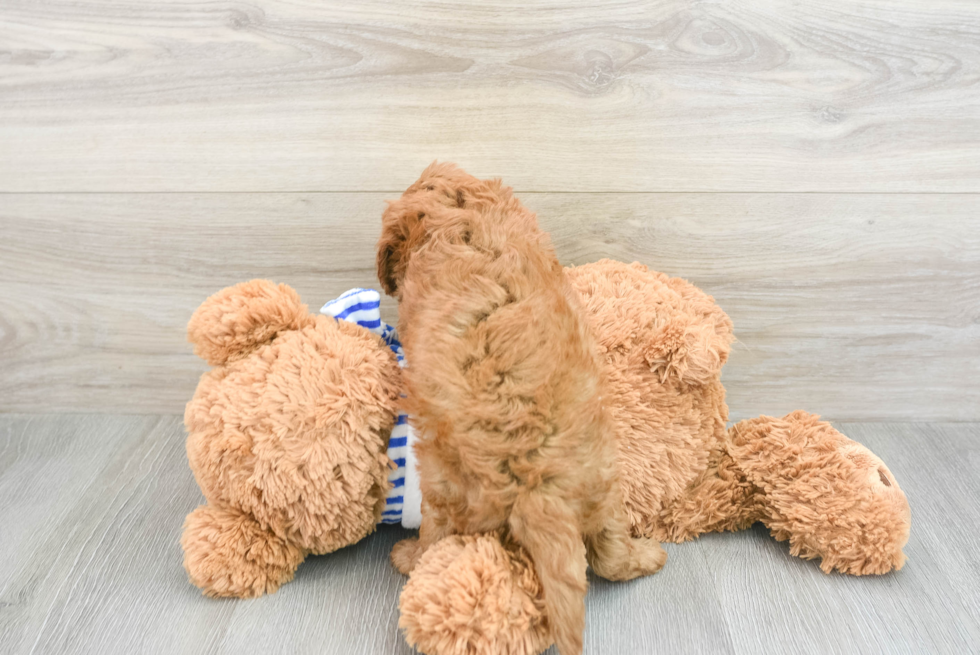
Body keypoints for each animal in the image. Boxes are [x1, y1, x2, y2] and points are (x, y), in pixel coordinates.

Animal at [376, 164, 668, 655]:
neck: (463, 219)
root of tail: (536, 481)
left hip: (444, 483)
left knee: (436, 533)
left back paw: (409, 556)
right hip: (603, 480)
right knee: (608, 553)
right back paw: (646, 556)